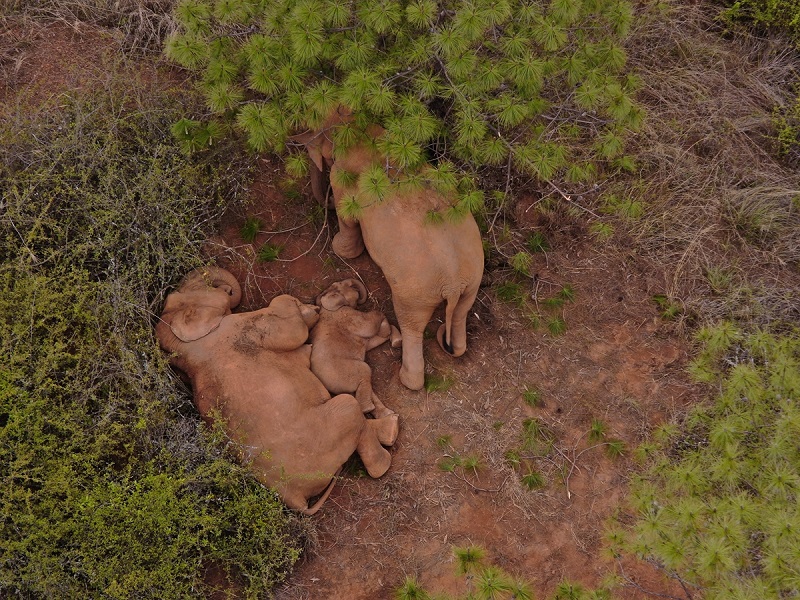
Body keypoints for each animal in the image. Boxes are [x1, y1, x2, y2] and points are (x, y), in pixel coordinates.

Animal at [292, 106, 484, 390]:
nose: (324, 201)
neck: (362, 132)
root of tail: (452, 282)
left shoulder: (342, 179)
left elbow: (347, 217)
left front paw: (339, 248)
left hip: (415, 293)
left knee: (411, 325)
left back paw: (406, 378)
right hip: (472, 280)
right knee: (461, 312)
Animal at [310, 278, 400, 420]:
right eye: (344, 285)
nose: (357, 288)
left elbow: (372, 341)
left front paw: (394, 339)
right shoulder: (347, 316)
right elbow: (369, 325)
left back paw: (388, 413)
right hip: (344, 372)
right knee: (365, 371)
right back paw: (368, 409)